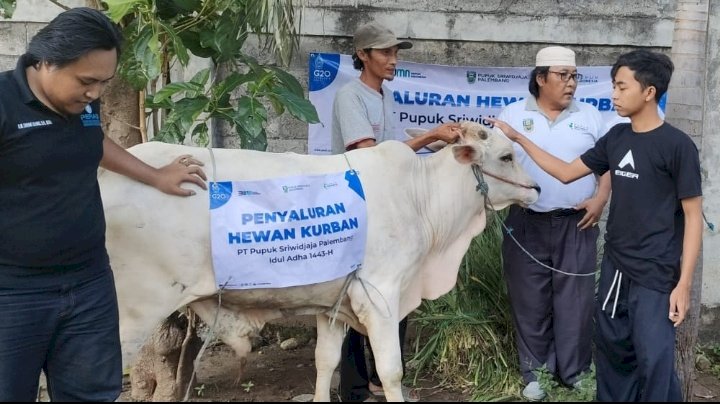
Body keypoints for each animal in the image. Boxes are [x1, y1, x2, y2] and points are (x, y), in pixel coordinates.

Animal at [102, 120, 540, 400]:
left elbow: (325, 363)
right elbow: (391, 371)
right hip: (130, 315)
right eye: (506, 156)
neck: (422, 197)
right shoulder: (380, 298)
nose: (536, 189)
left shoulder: (333, 306)